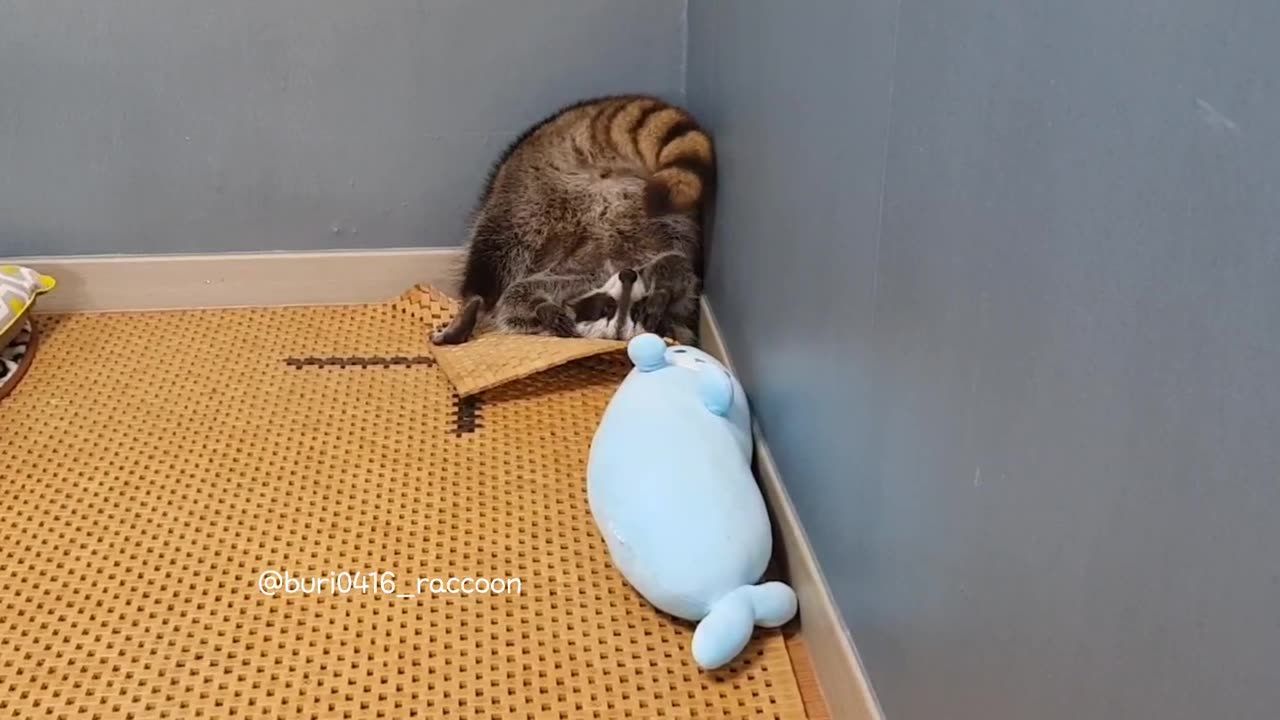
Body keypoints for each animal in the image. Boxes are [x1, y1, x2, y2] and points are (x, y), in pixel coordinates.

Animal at [427, 92, 711, 345]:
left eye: (633, 311)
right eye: (604, 309)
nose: (627, 278)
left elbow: (677, 266)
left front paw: (663, 291)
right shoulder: (583, 278)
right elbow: (515, 299)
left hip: (671, 211)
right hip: (532, 186)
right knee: (499, 244)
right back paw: (474, 301)